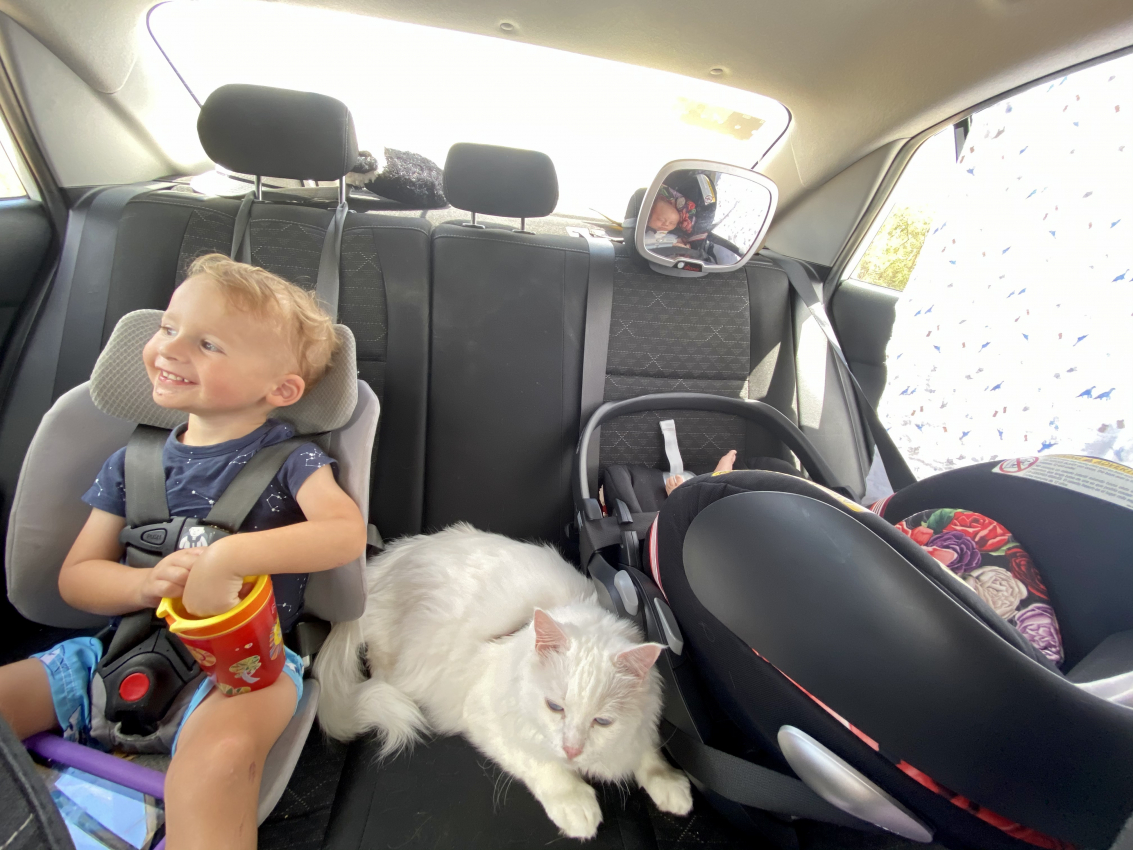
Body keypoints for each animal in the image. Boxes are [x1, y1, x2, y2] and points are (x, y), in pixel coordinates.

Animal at [314, 525, 693, 838]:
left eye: (602, 722)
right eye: (555, 707)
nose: (572, 750)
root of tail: (381, 564)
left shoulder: (639, 727)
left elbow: (649, 753)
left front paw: (672, 787)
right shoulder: (486, 717)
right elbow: (542, 764)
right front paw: (577, 806)